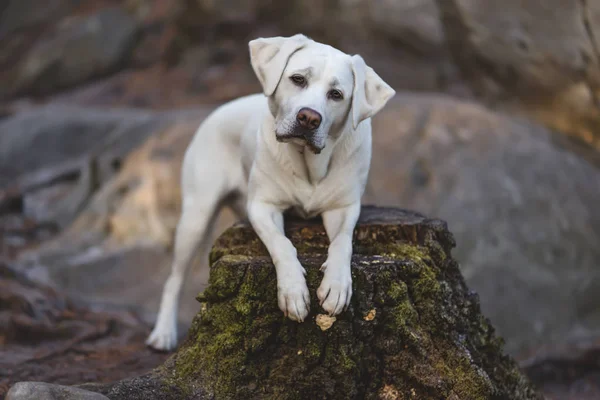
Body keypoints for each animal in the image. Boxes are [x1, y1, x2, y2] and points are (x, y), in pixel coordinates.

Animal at [148, 36, 396, 352]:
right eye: (298, 79)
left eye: (336, 94)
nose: (309, 118)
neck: (307, 163)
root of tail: (219, 109)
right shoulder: (262, 206)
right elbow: (282, 244)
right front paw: (293, 291)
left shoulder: (344, 208)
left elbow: (343, 243)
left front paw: (337, 285)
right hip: (196, 216)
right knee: (174, 279)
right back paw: (163, 332)